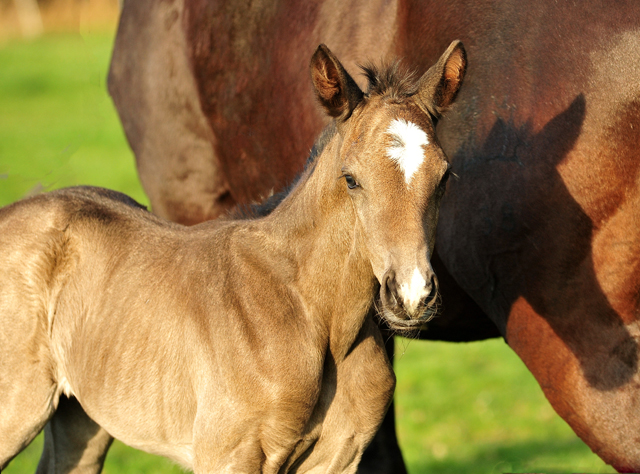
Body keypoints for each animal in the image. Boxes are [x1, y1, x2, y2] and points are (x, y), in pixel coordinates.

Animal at [0, 41, 464, 474]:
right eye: (351, 179)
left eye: (444, 177)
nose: (410, 295)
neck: (315, 318)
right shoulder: (228, 454)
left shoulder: (339, 456)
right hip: (17, 405)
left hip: (81, 414)